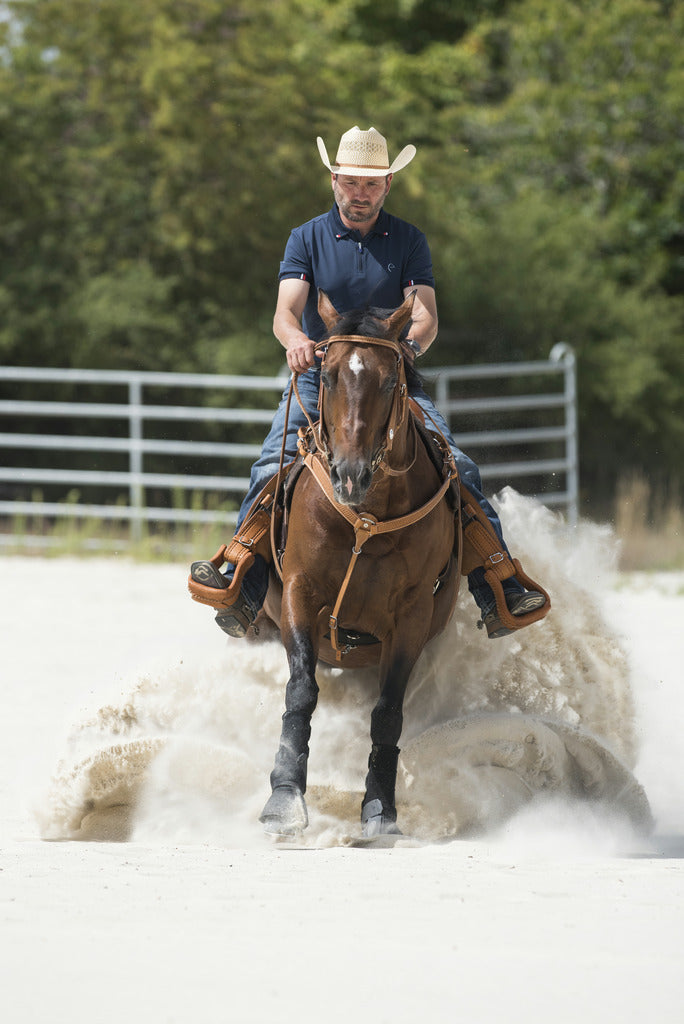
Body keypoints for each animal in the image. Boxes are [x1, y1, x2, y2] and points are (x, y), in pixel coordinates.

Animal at [259, 290, 462, 839]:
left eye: (390, 380)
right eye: (327, 375)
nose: (349, 475)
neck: (364, 519)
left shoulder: (411, 616)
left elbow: (388, 711)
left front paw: (380, 809)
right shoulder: (300, 591)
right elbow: (301, 691)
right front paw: (284, 799)